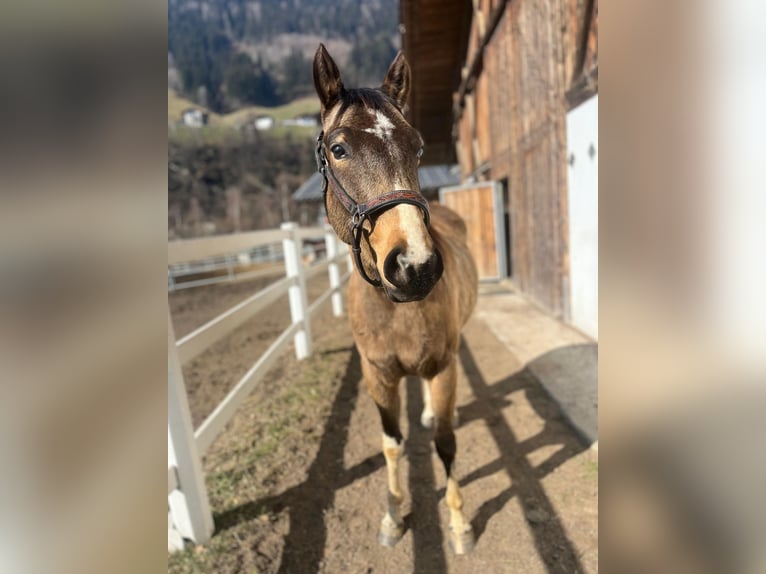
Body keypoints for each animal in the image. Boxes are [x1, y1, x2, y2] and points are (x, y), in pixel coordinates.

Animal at [314, 42, 480, 556]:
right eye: (338, 149)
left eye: (417, 147)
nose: (415, 266)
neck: (396, 309)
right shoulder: (378, 374)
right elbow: (391, 444)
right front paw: (392, 517)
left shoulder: (442, 367)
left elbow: (446, 443)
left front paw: (459, 524)